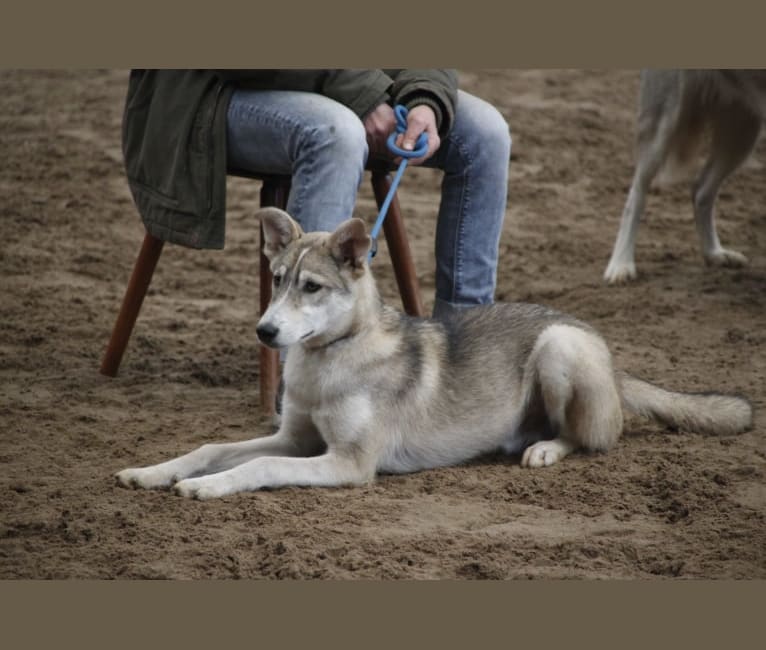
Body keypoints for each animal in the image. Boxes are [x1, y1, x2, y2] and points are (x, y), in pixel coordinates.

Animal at [115, 208, 756, 496]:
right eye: (275, 280)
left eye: (312, 287)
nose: (265, 332)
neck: (329, 360)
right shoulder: (295, 437)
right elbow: (213, 447)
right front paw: (153, 471)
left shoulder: (348, 463)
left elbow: (259, 466)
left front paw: (207, 487)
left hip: (558, 347)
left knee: (591, 438)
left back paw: (545, 449)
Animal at [608, 69, 766, 282]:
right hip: (663, 122)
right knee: (636, 195)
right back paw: (621, 265)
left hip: (743, 129)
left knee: (701, 191)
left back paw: (713, 252)